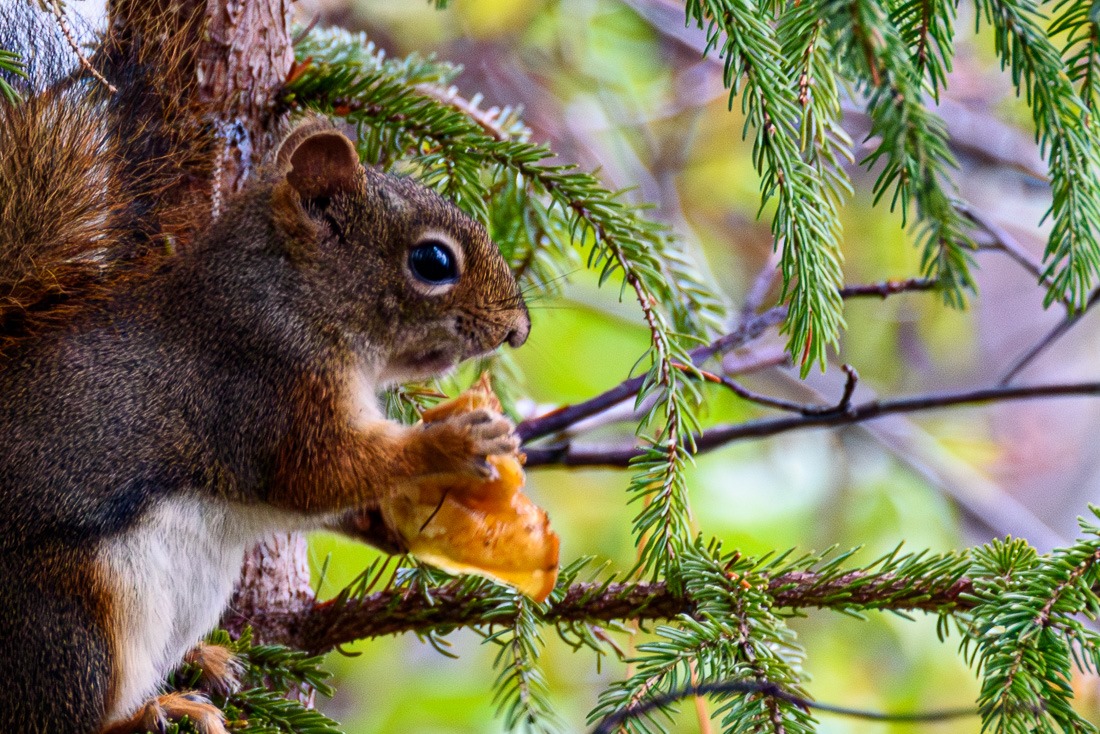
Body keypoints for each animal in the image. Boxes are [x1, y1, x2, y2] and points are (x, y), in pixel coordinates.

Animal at [0, 7, 530, 734]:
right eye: (433, 262)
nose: (519, 329)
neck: (293, 297)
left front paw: (397, 520)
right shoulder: (266, 383)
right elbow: (316, 474)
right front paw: (448, 443)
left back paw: (204, 662)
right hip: (72, 613)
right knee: (61, 717)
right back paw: (154, 711)